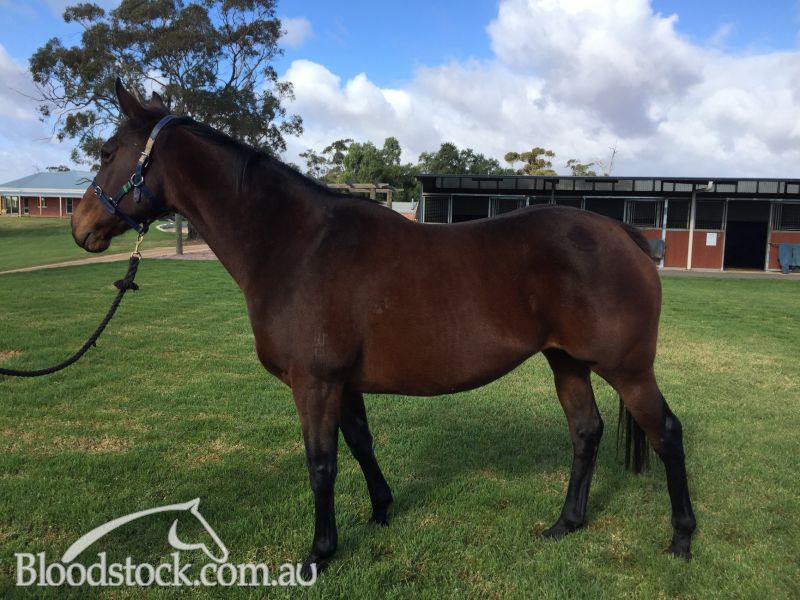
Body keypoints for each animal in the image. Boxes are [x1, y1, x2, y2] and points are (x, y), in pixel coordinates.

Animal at [71, 79, 696, 575]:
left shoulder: (315, 383)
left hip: (627, 369)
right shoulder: (342, 384)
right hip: (566, 362)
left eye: (107, 150)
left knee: (666, 433)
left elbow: (321, 464)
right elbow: (360, 444)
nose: (81, 227)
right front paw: (380, 511)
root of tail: (625, 235)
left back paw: (682, 539)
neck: (298, 246)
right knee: (586, 432)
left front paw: (319, 554)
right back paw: (565, 524)